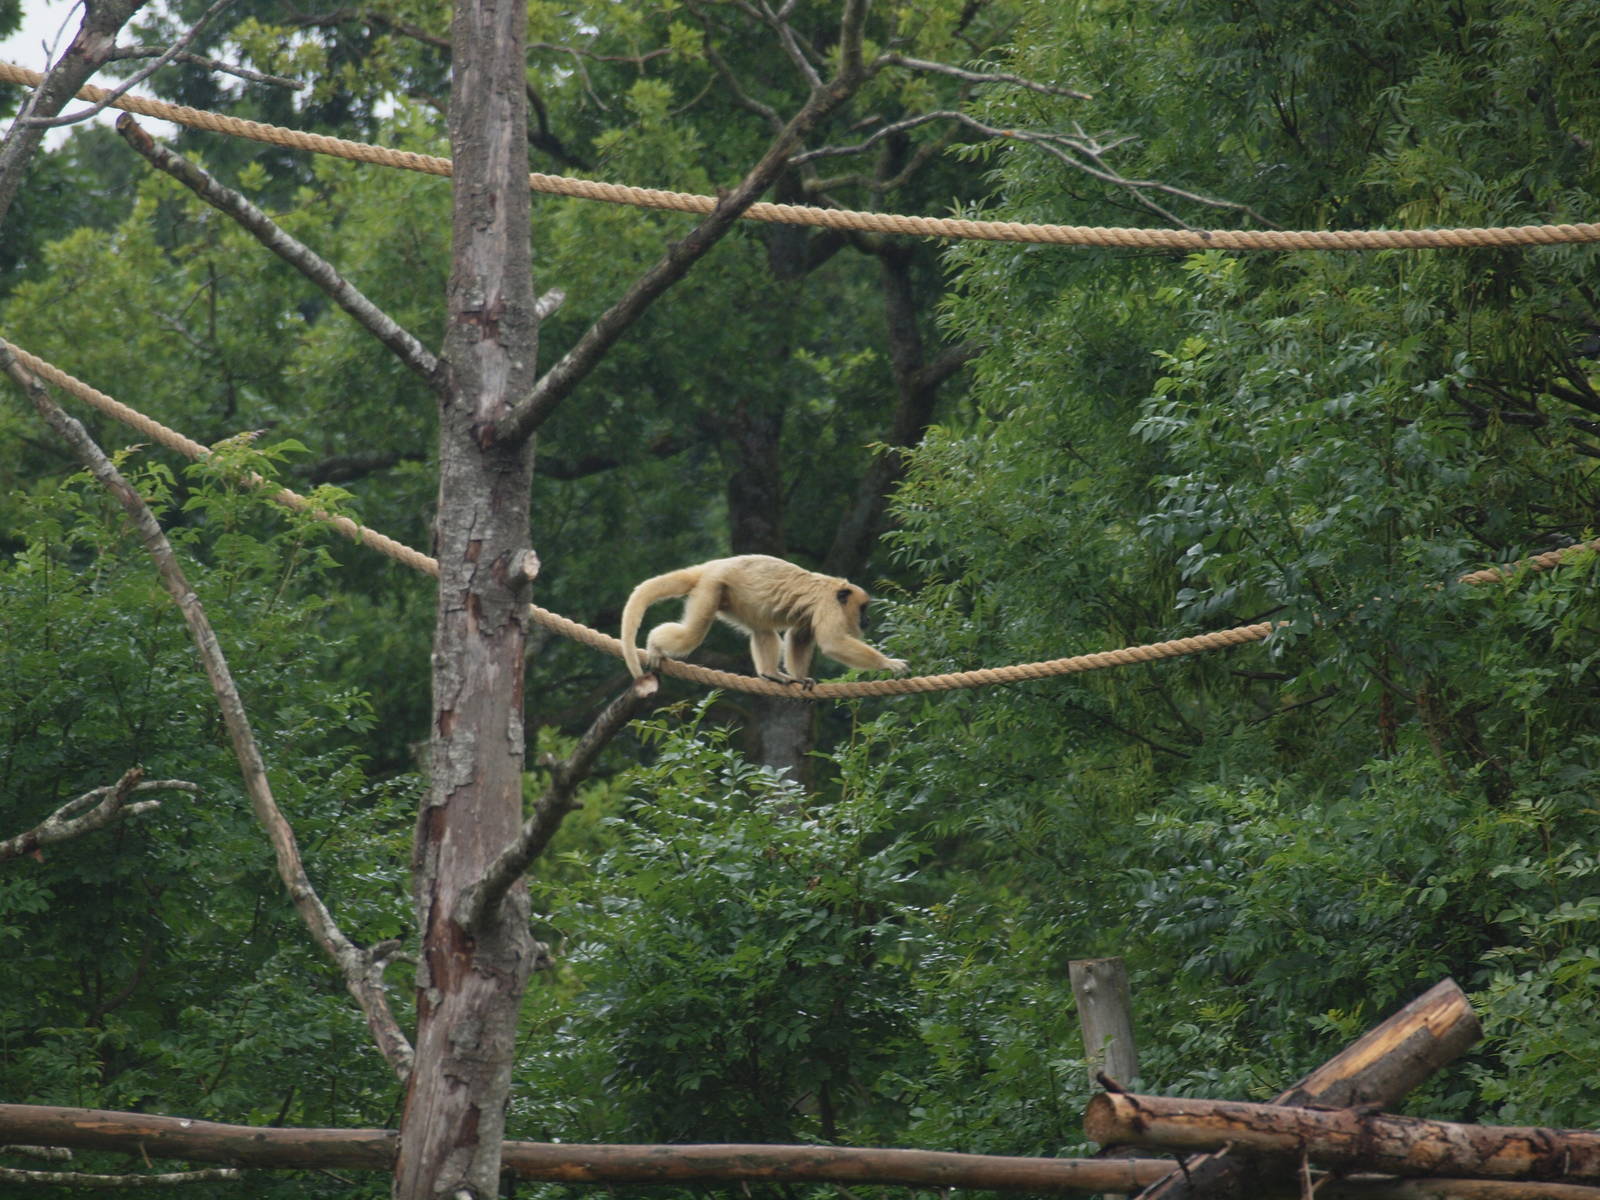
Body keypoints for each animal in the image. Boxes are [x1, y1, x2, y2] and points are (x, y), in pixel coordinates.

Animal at [620, 554, 909, 686]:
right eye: (863, 608)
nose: (867, 619)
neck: (835, 590)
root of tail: (712, 565)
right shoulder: (828, 606)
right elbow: (832, 642)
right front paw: (888, 662)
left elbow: (800, 637)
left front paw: (801, 678)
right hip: (712, 588)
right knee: (694, 632)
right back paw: (655, 646)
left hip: (731, 599)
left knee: (763, 631)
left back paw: (771, 674)